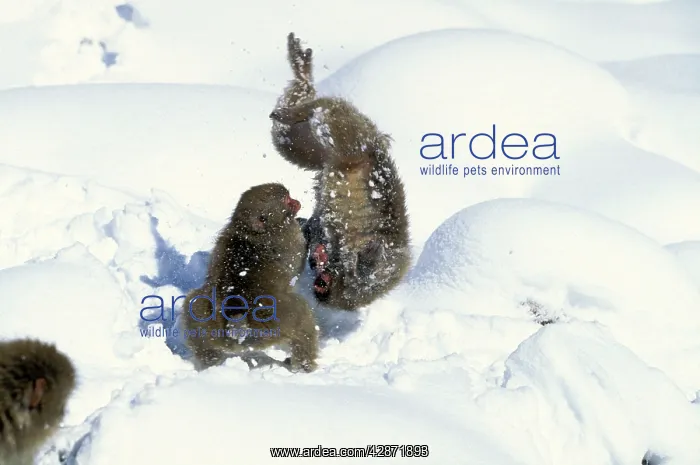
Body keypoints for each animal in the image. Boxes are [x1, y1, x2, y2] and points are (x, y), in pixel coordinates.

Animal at [181, 183, 319, 373]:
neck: (251, 230)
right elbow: (297, 264)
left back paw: (210, 361)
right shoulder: (288, 239)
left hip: (212, 327)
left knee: (194, 305)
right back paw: (304, 365)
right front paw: (306, 226)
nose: (297, 202)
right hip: (276, 321)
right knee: (302, 317)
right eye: (286, 200)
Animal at [269, 32, 411, 311]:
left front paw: (314, 242)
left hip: (334, 145)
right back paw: (301, 96)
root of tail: (373, 145)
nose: (320, 281)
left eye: (324, 284)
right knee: (327, 114)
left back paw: (300, 85)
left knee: (291, 141)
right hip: (351, 138)